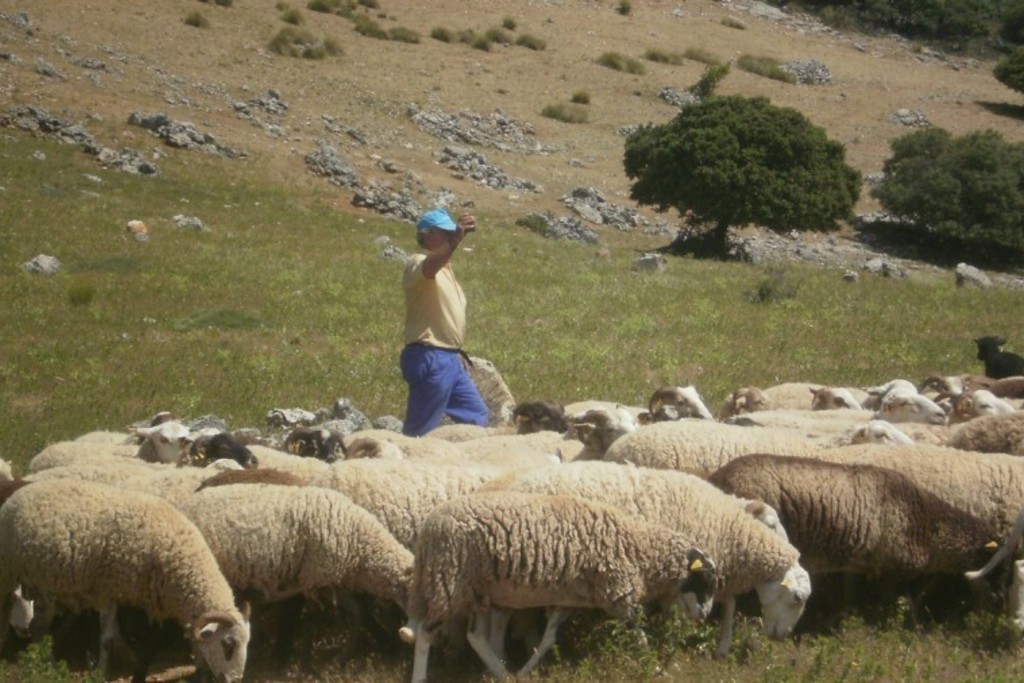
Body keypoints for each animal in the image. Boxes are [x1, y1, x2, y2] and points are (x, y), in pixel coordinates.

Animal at [0, 479, 250, 679]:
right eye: (228, 644)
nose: (235, 680)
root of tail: (16, 495)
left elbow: (170, 641)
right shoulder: (108, 590)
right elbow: (108, 640)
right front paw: (101, 673)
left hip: (43, 582)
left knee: (39, 624)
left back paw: (44, 659)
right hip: (8, 570)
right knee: (6, 610)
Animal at [395, 493, 716, 679]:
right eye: (704, 581)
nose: (703, 615)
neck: (640, 549)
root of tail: (429, 529)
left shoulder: (569, 599)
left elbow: (549, 638)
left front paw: (527, 669)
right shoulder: (619, 593)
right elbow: (640, 635)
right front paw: (657, 667)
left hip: (474, 588)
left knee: (475, 637)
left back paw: (504, 674)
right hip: (450, 582)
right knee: (426, 634)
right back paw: (421, 677)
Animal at [487, 462, 806, 659]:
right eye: (796, 599)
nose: (783, 636)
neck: (724, 521)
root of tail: (514, 486)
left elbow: (727, 602)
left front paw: (721, 648)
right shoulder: (686, 574)